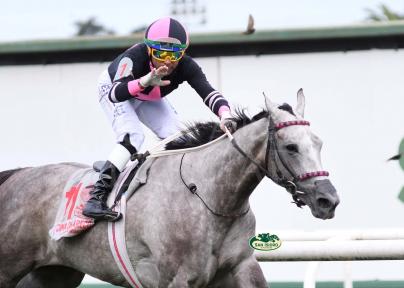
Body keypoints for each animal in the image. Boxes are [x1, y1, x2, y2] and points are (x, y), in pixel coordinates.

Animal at [0, 90, 340, 288]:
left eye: (319, 143)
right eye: (291, 147)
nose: (328, 200)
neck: (211, 197)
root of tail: (16, 175)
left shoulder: (242, 267)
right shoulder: (175, 279)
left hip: (53, 273)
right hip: (9, 268)